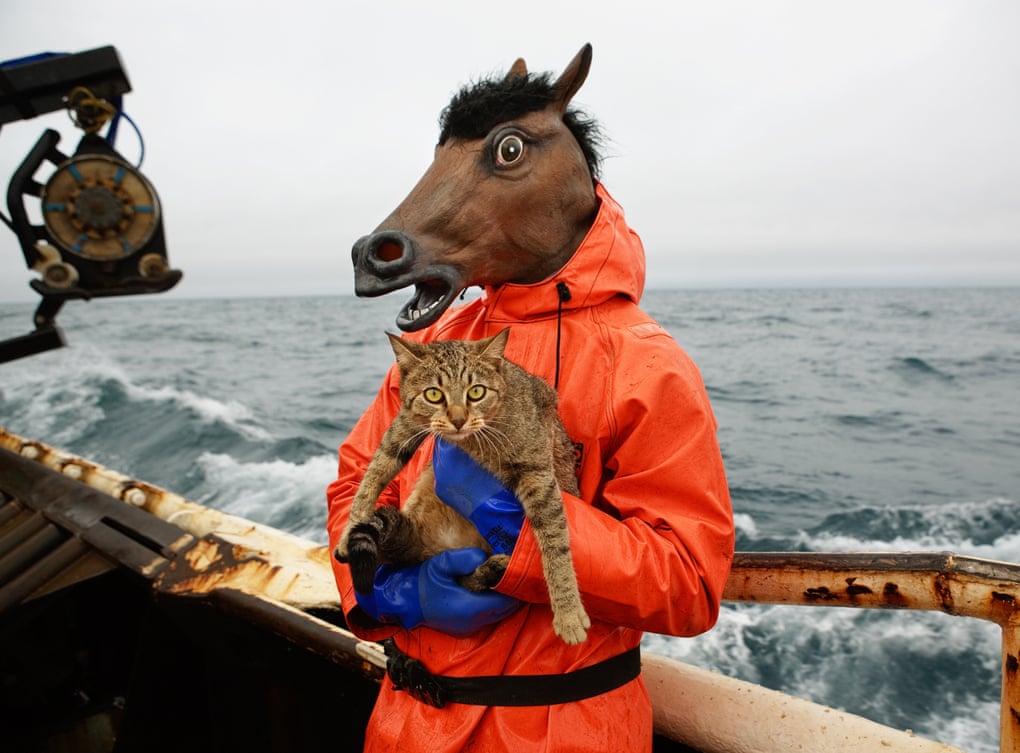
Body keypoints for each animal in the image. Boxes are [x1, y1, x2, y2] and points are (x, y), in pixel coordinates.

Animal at [334, 326, 591, 640]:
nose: (458, 420)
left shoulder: (538, 473)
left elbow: (556, 542)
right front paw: (349, 530)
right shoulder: (404, 426)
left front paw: (568, 611)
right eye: (433, 394)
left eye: (476, 392)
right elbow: (373, 473)